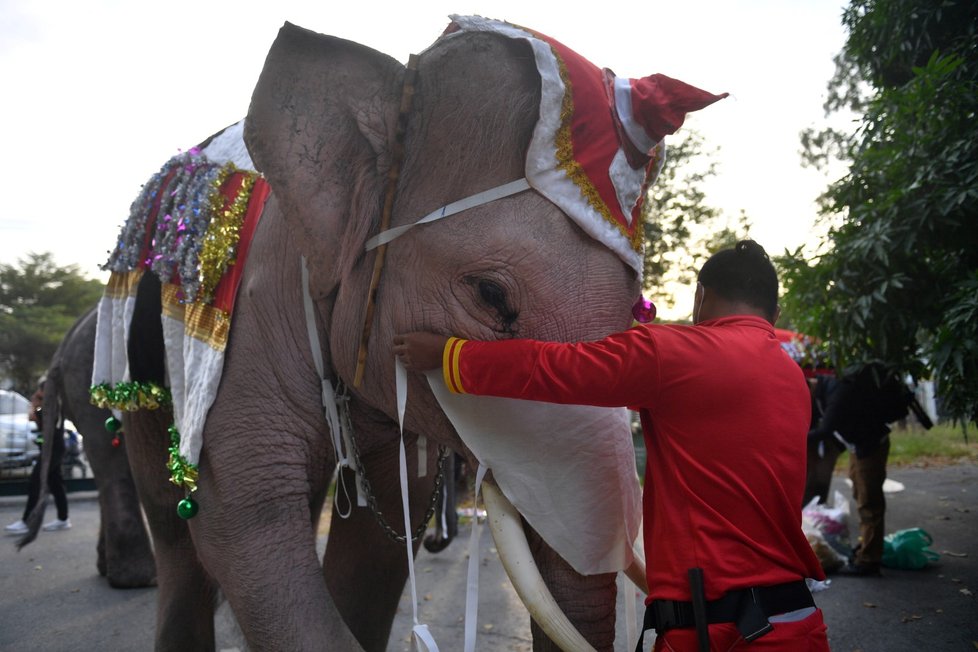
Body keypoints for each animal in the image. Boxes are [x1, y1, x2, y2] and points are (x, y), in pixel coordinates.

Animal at [91, 15, 724, 652]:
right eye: (491, 296)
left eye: (639, 310)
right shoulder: (249, 329)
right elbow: (245, 522)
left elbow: (385, 539)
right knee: (176, 530)